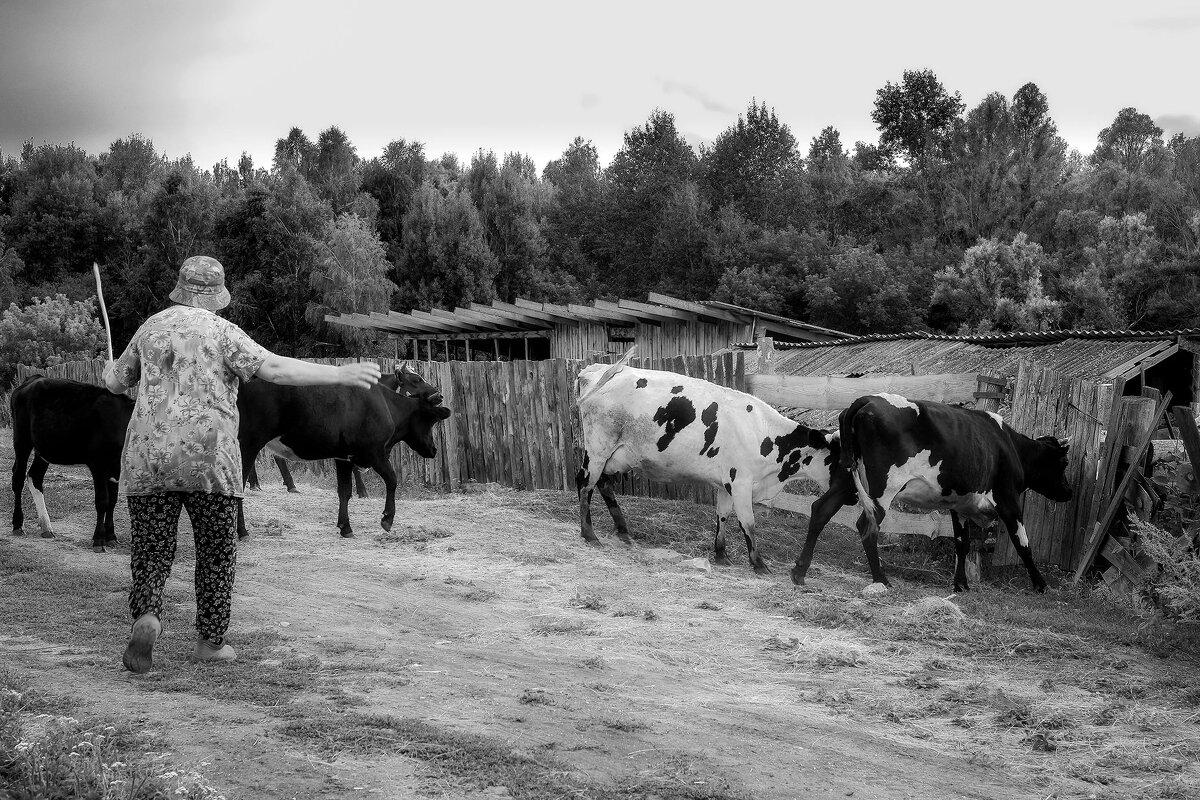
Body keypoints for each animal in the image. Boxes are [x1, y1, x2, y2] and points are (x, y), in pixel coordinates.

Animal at [9, 376, 134, 554]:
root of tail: (34, 378)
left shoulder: (116, 468)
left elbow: (113, 501)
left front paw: (111, 536)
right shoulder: (99, 464)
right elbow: (103, 500)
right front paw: (99, 539)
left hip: (44, 448)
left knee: (35, 476)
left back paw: (46, 528)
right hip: (22, 439)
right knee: (18, 477)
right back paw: (18, 525)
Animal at [236, 367, 451, 542]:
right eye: (431, 420)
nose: (434, 450)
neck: (384, 404)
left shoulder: (343, 458)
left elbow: (344, 491)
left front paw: (345, 527)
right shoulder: (375, 453)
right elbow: (392, 480)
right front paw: (387, 519)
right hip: (248, 444)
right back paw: (242, 531)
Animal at [576, 352, 840, 573]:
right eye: (840, 458)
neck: (763, 434)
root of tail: (598, 368)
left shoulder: (726, 484)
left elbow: (722, 515)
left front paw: (721, 554)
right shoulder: (741, 482)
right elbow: (748, 523)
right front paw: (759, 564)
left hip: (617, 456)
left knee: (604, 483)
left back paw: (622, 531)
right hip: (598, 447)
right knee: (585, 483)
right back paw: (589, 534)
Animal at [792, 391, 1075, 592]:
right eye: (1063, 463)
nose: (1069, 492)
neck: (1009, 446)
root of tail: (865, 400)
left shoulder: (959, 505)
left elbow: (962, 544)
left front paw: (961, 585)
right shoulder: (1007, 499)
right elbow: (1023, 544)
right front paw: (1040, 584)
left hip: (846, 482)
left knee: (820, 510)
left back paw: (799, 572)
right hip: (883, 487)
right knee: (866, 525)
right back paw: (881, 579)